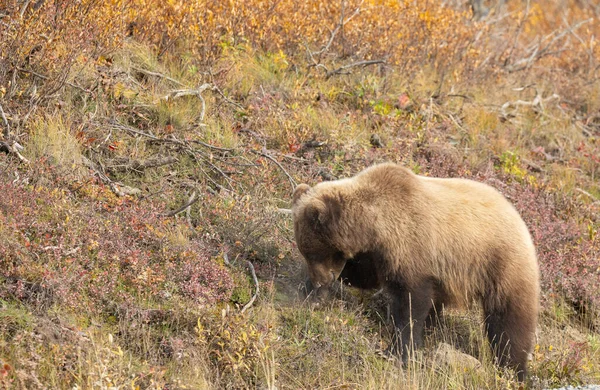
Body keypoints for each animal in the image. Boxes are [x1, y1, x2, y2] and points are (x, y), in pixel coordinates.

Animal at [292, 161, 540, 380]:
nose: (318, 281)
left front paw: (398, 351)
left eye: (313, 252)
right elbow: (366, 276)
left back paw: (513, 370)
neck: (374, 224)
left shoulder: (411, 246)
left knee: (509, 321)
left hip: (501, 264)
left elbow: (411, 303)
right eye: (305, 251)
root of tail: (521, 220)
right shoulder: (378, 253)